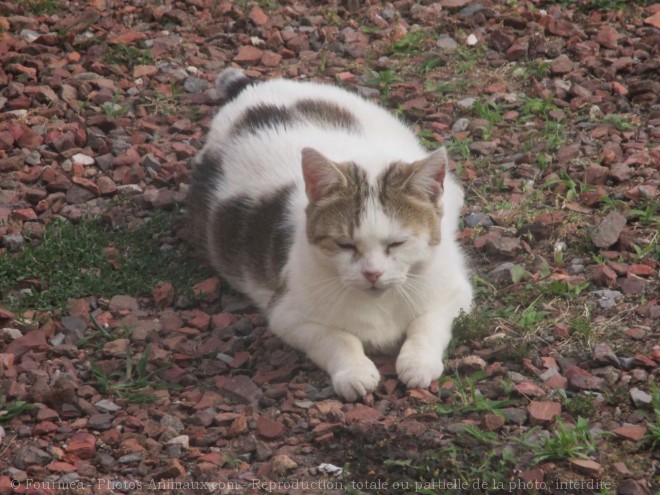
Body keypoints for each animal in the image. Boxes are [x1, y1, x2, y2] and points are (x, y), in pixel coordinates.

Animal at [188, 69, 472, 404]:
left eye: (397, 243)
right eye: (345, 245)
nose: (372, 273)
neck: (380, 303)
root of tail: (253, 89)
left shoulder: (455, 294)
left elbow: (427, 324)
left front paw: (418, 362)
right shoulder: (288, 315)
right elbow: (337, 338)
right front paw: (354, 372)